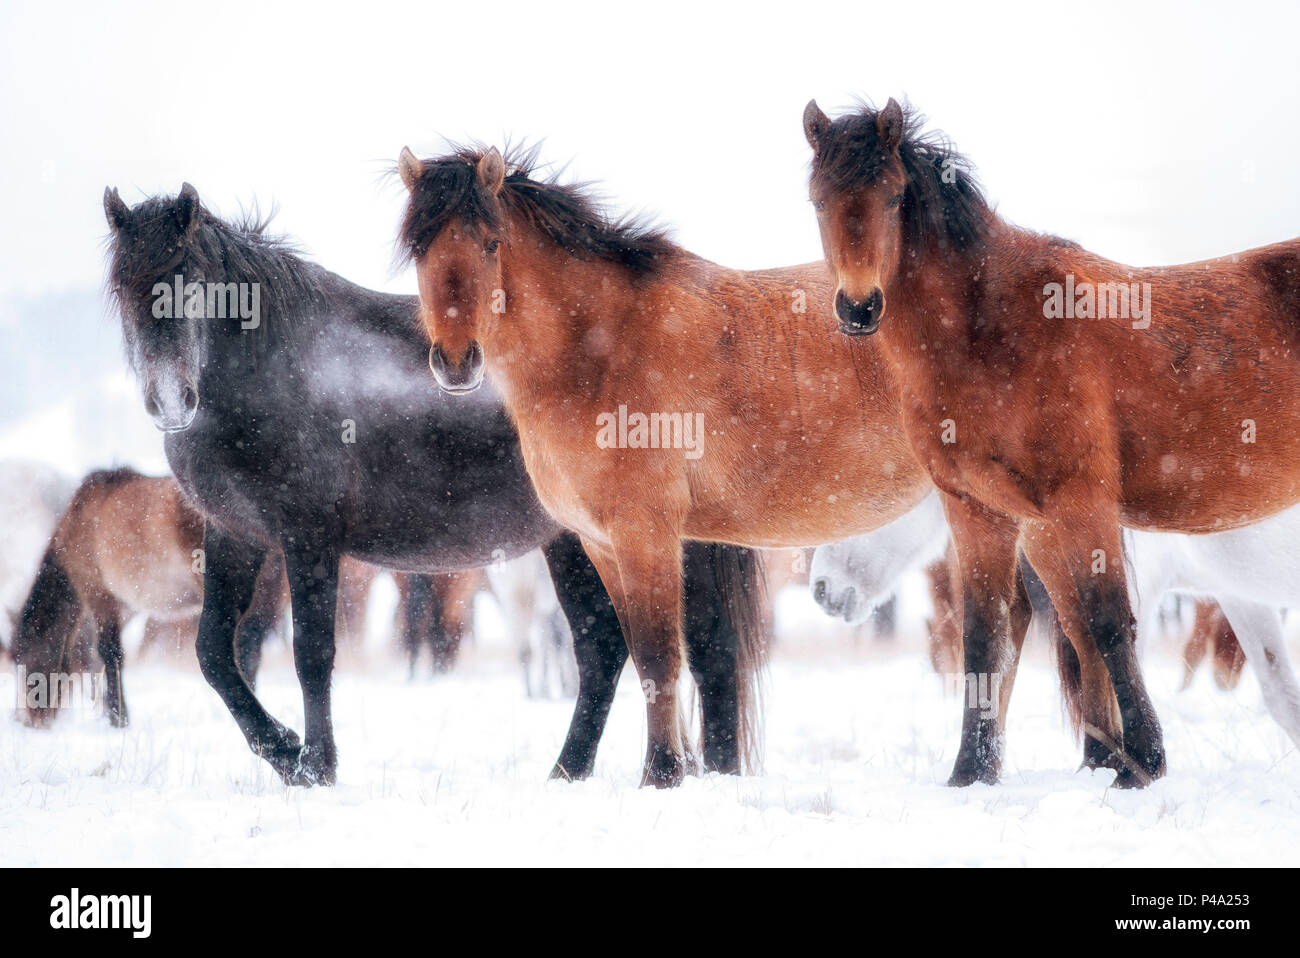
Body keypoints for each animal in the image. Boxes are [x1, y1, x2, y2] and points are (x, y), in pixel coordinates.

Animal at [109, 184, 769, 785]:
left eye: (193, 285)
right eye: (123, 288)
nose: (171, 402)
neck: (277, 369)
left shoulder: (309, 540)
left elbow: (311, 654)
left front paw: (315, 765)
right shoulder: (235, 535)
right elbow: (214, 653)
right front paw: (284, 752)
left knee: (703, 651)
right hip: (576, 545)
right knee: (605, 648)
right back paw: (570, 771)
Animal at [395, 143, 967, 785]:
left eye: (491, 244)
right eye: (419, 248)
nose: (456, 362)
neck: (601, 350)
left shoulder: (648, 535)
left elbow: (658, 656)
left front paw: (662, 773)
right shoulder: (602, 543)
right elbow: (644, 652)